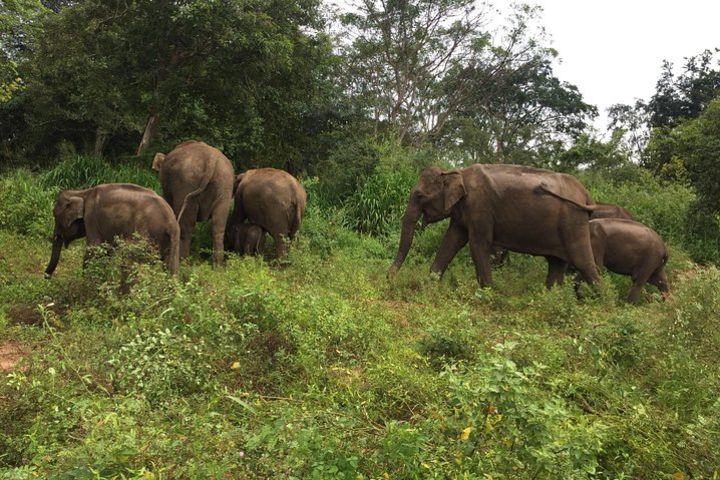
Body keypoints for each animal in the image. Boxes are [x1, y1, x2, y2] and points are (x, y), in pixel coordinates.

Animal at [44, 183, 180, 278]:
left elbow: (94, 248)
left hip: (145, 235)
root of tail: (171, 223)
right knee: (171, 268)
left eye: (55, 215)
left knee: (129, 261)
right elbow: (106, 250)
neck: (83, 192)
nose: (46, 277)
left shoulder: (91, 216)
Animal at [388, 164, 600, 288]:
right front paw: (430, 283)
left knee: (582, 261)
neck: (457, 173)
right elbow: (451, 241)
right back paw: (550, 296)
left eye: (419, 196)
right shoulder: (463, 212)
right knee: (556, 263)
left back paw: (598, 301)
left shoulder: (480, 208)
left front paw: (488, 293)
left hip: (573, 222)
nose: (388, 278)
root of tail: (587, 196)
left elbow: (477, 245)